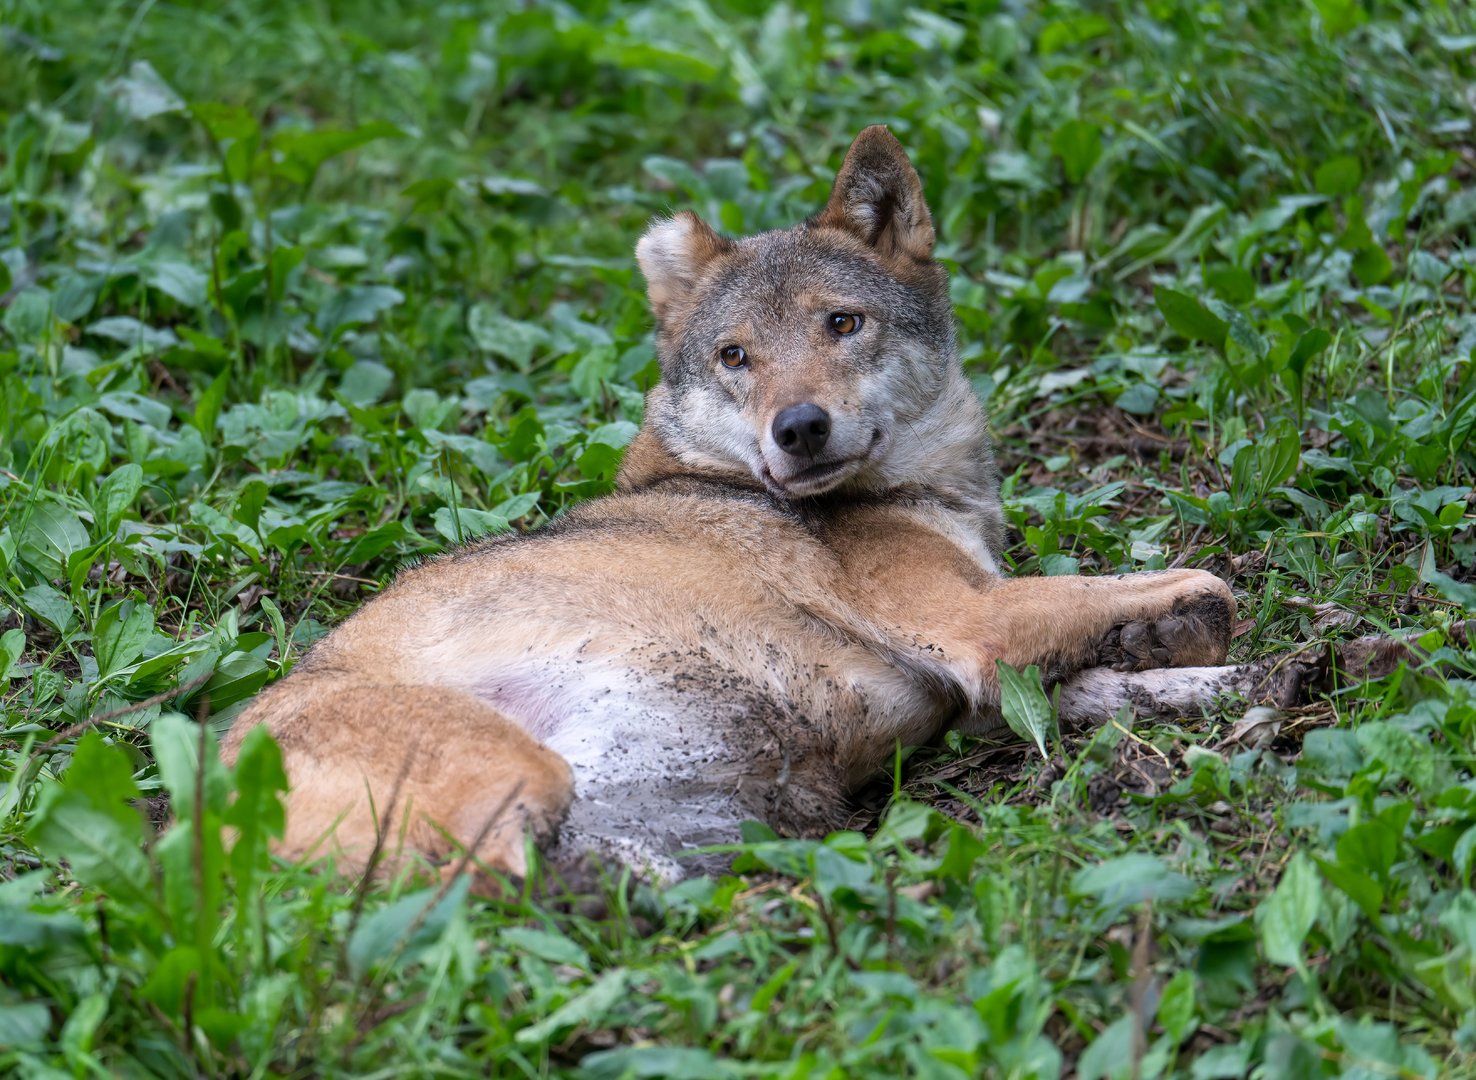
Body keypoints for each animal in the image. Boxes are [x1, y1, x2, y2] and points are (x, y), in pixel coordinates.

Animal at [221, 127, 1339, 885]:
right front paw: (1200, 637)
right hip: (520, 781)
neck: (936, 490)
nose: (796, 429)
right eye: (735, 357)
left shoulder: (970, 689)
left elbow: (1111, 682)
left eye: (841, 324)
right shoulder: (970, 622)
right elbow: (1210, 586)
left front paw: (1236, 678)